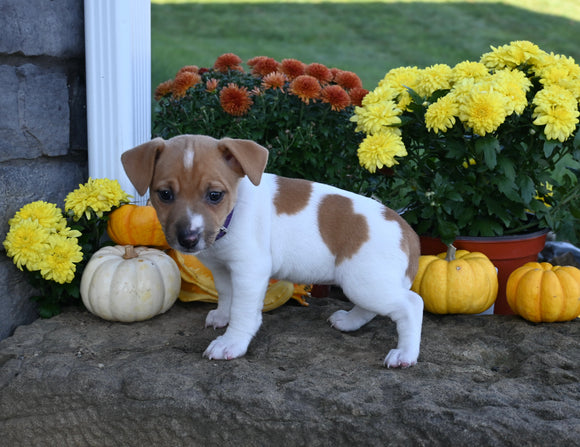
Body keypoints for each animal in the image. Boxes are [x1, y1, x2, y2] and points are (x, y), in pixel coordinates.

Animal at [121, 134, 422, 368]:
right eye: (165, 195)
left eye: (215, 195)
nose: (188, 239)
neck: (233, 212)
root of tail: (407, 231)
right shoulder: (222, 268)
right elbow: (227, 296)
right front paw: (223, 316)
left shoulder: (250, 271)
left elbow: (243, 312)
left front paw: (232, 343)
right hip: (365, 283)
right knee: (373, 308)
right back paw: (349, 321)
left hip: (364, 282)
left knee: (411, 304)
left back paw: (405, 354)